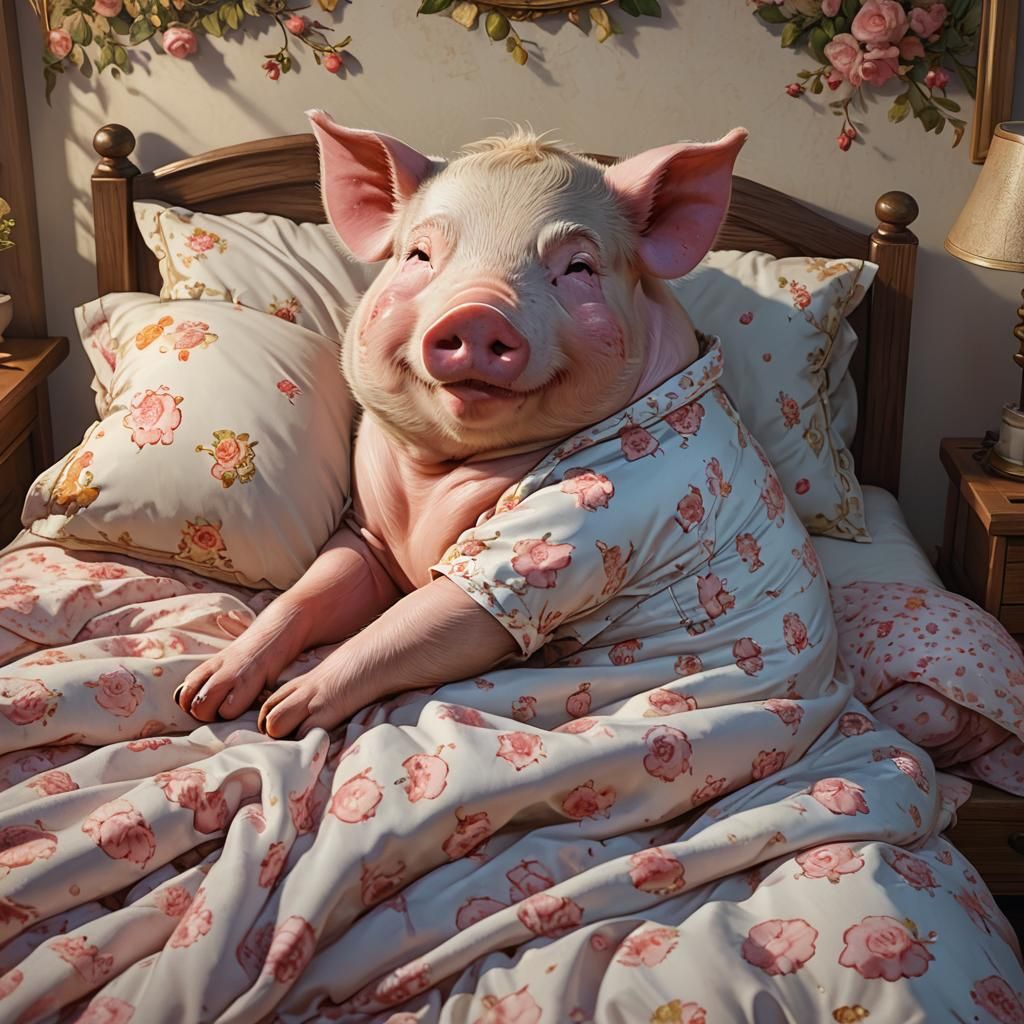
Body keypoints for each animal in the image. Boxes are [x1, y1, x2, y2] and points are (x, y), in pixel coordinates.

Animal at [175, 111, 747, 738]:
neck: (431, 486)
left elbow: (415, 623)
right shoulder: (370, 535)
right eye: (420, 256)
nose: (478, 313)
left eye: (578, 267)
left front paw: (280, 717)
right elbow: (309, 593)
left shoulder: (590, 527)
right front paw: (200, 698)